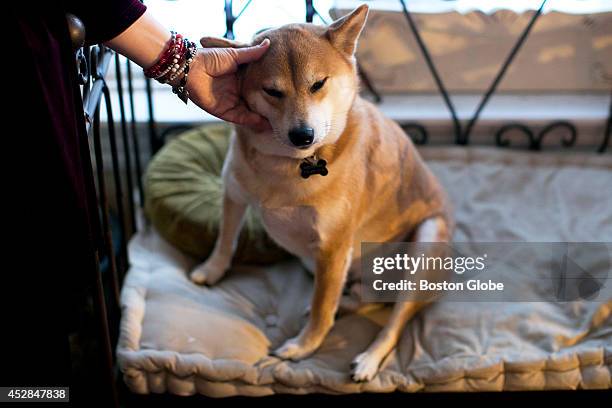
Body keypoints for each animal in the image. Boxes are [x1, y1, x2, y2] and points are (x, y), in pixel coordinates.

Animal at [191, 4, 454, 382]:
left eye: (318, 84)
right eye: (272, 91)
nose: (303, 135)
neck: (289, 166)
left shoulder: (332, 246)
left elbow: (321, 309)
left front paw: (302, 347)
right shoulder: (234, 194)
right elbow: (226, 240)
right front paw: (212, 270)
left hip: (426, 242)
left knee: (393, 324)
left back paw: (368, 359)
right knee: (361, 300)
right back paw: (348, 302)